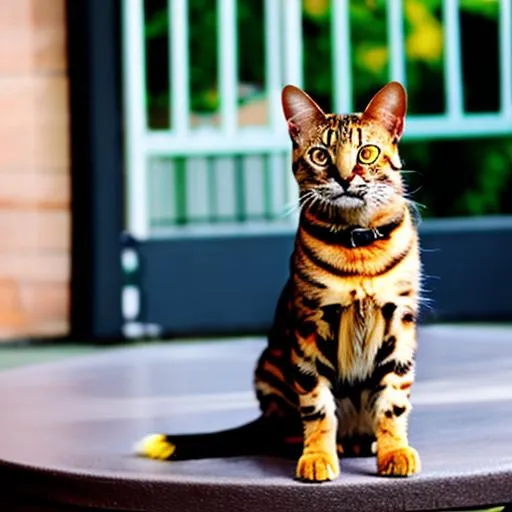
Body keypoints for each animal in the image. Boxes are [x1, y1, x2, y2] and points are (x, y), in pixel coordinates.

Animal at [135, 82, 420, 482]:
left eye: (367, 152)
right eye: (320, 155)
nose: (345, 178)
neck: (358, 247)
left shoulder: (399, 324)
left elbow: (392, 401)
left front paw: (395, 450)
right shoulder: (310, 328)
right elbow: (317, 406)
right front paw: (317, 457)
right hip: (271, 371)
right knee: (283, 432)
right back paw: (331, 446)